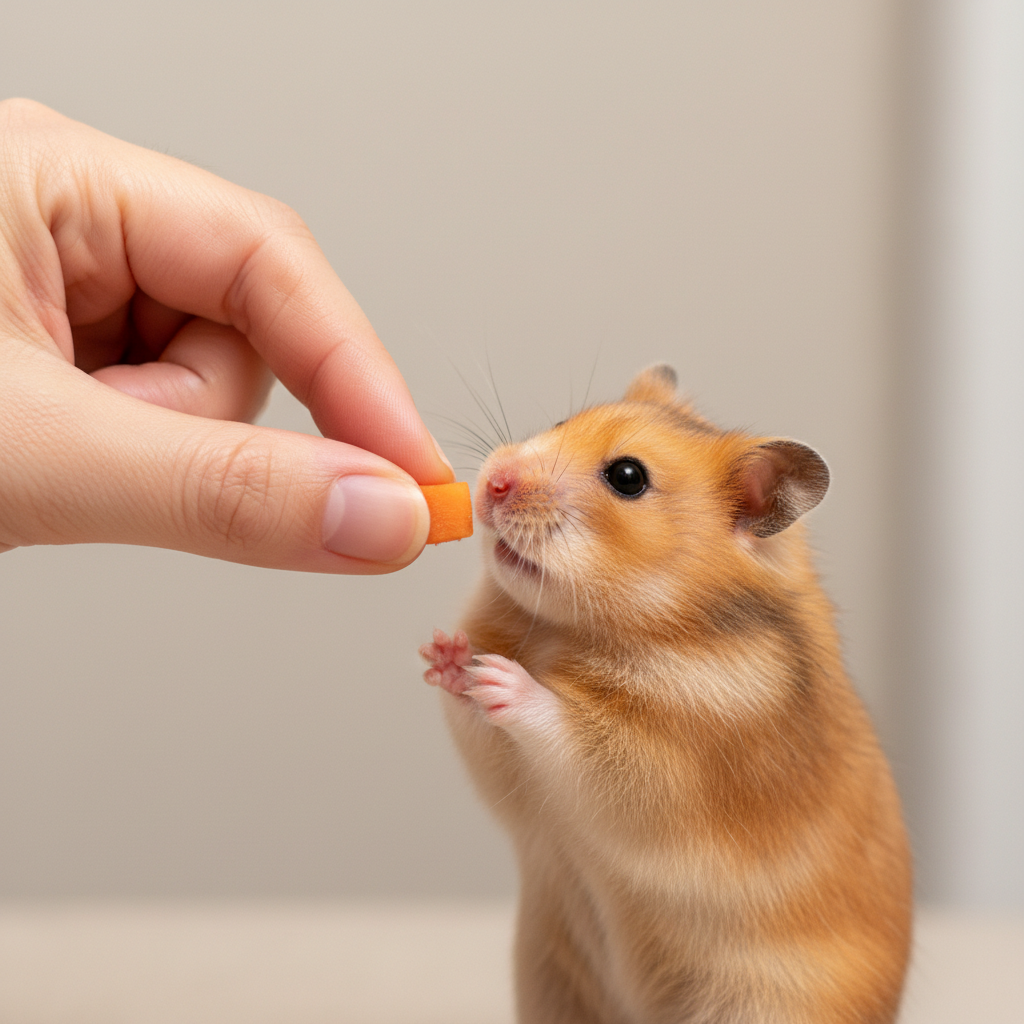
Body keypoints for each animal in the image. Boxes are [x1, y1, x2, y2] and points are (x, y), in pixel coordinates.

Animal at [420, 365, 912, 1024]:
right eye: (561, 422)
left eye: (628, 477)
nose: (494, 481)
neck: (569, 630)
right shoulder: (513, 780)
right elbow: (477, 723)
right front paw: (448, 655)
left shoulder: (661, 769)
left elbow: (570, 733)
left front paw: (503, 678)